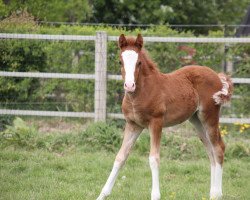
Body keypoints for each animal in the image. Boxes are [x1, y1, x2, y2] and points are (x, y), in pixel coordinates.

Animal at [96, 34, 233, 200]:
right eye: (120, 61)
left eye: (139, 62)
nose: (129, 85)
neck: (140, 93)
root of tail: (217, 76)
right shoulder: (133, 125)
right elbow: (120, 157)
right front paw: (102, 195)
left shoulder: (156, 123)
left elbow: (154, 158)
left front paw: (155, 195)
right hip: (196, 121)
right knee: (210, 151)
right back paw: (212, 193)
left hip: (209, 116)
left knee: (218, 148)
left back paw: (217, 194)